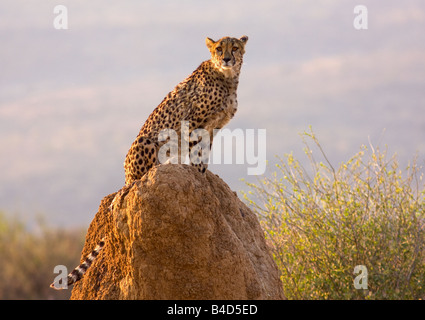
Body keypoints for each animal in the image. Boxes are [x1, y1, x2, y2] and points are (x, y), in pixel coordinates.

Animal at [51, 35, 247, 290]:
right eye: (219, 49)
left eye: (235, 48)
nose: (227, 59)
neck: (227, 78)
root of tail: (127, 179)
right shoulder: (194, 123)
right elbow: (196, 156)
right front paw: (198, 177)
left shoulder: (212, 128)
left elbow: (204, 155)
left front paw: (204, 175)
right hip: (146, 142)